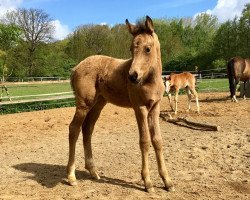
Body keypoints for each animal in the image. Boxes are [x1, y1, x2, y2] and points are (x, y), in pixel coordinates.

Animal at [66, 16, 174, 192]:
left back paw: (93, 172)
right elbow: (144, 141)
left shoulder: (155, 107)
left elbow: (157, 141)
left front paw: (167, 181)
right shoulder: (139, 108)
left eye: (147, 49)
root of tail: (76, 68)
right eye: (131, 48)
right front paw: (147, 182)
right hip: (84, 104)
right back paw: (71, 176)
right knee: (74, 129)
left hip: (98, 104)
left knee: (87, 129)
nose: (132, 76)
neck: (149, 80)